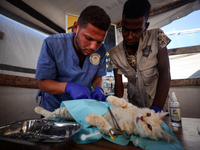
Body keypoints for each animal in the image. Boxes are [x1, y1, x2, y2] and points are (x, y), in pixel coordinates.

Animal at [34, 95, 175, 141]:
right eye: (148, 114)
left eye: (149, 127)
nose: (141, 119)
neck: (131, 118)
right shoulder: (128, 105)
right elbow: (123, 101)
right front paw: (110, 98)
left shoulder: (115, 130)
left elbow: (105, 125)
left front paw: (90, 117)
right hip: (64, 110)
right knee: (52, 113)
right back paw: (39, 109)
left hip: (63, 113)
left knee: (52, 114)